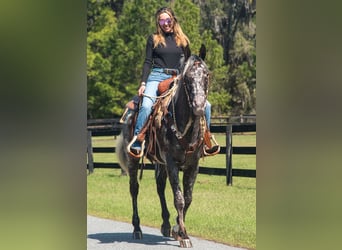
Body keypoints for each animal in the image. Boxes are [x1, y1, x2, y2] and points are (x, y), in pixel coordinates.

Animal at [116, 48, 210, 248]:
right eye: (187, 77)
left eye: (206, 74)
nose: (199, 107)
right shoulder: (172, 162)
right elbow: (179, 199)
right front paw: (184, 236)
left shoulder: (193, 165)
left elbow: (188, 198)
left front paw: (177, 229)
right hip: (134, 159)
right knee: (134, 189)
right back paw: (137, 229)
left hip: (160, 163)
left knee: (159, 187)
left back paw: (166, 225)